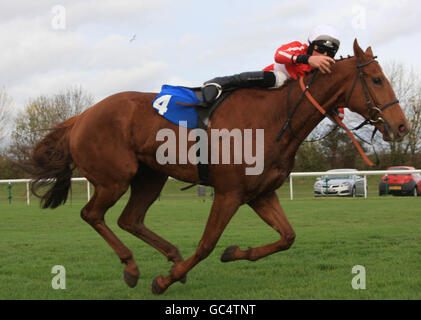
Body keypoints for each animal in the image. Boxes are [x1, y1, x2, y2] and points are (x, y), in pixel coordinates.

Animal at [27, 40, 408, 296]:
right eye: (376, 79)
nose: (402, 126)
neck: (275, 117)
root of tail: (81, 117)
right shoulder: (228, 193)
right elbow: (207, 244)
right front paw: (163, 280)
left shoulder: (260, 194)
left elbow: (286, 237)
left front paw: (235, 252)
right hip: (114, 179)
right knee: (92, 214)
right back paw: (134, 267)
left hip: (151, 177)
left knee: (129, 219)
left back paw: (169, 257)